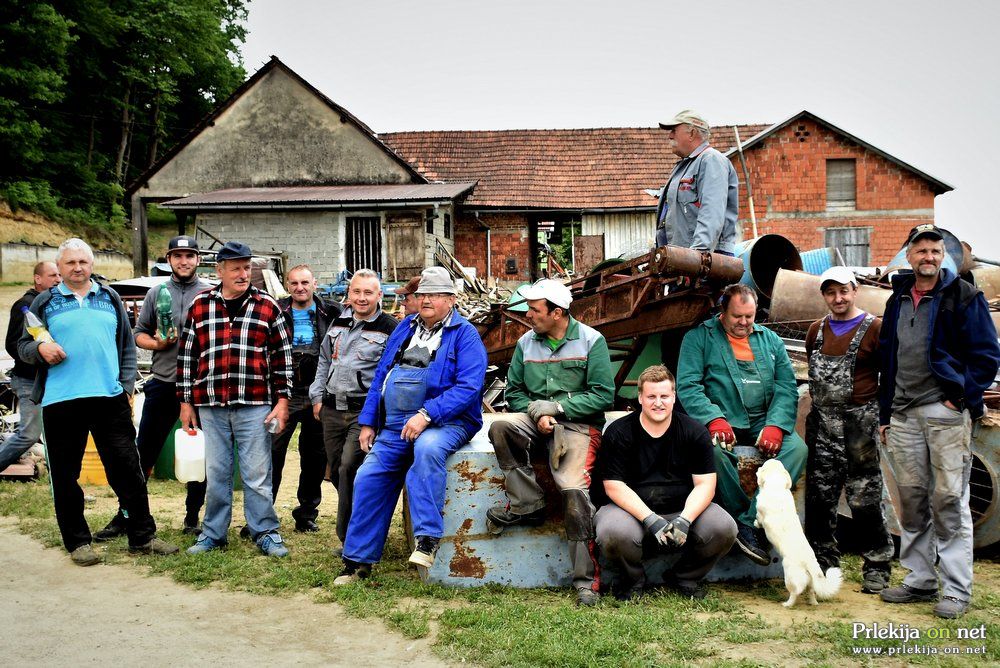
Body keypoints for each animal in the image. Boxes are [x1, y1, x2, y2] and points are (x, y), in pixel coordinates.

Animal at [752, 460, 840, 604]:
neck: (777, 486)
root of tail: (810, 563)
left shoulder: (760, 513)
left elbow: (759, 519)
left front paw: (755, 523)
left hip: (791, 577)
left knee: (795, 593)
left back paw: (787, 604)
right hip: (810, 583)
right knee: (811, 591)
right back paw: (813, 603)